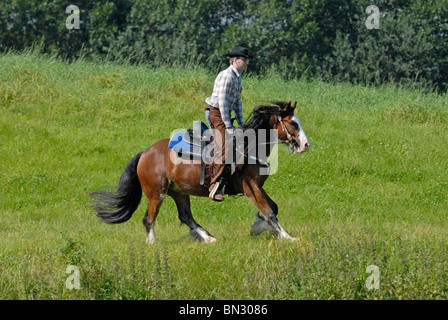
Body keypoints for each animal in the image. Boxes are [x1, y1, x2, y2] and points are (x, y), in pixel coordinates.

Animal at [89, 101, 310, 244]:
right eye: (292, 123)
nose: (306, 145)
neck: (249, 146)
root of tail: (145, 153)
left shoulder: (256, 187)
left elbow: (273, 208)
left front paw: (260, 228)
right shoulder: (250, 187)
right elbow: (269, 211)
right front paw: (287, 237)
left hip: (179, 192)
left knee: (186, 216)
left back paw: (208, 237)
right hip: (156, 193)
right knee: (149, 218)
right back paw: (152, 244)